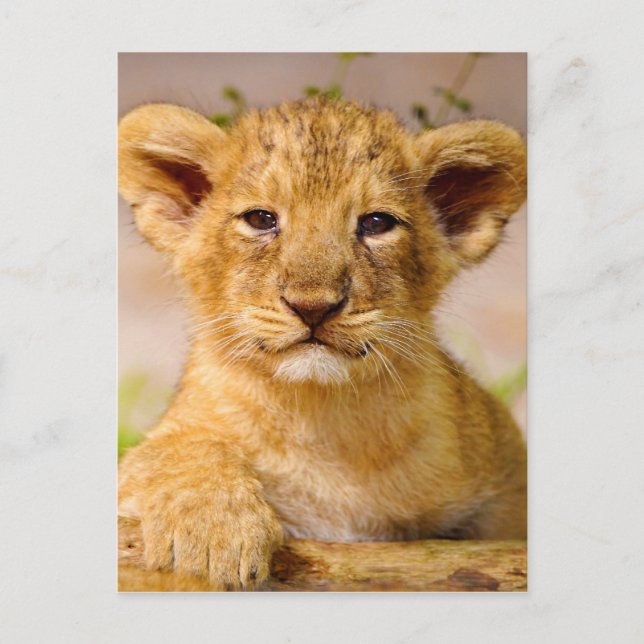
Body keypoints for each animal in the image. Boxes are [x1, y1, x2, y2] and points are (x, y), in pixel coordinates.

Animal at [118, 98, 527, 590]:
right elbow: (176, 447)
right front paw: (213, 532)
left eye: (376, 223)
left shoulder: (508, 474)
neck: (321, 415)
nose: (313, 307)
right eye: (261, 219)